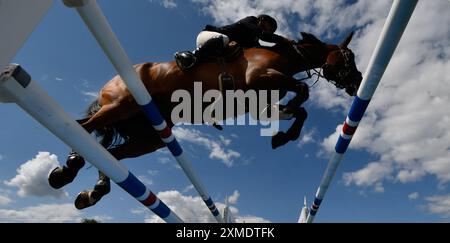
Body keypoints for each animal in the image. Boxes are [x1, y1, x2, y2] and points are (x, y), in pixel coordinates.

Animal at [47, 31, 362, 209]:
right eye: (349, 55)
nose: (358, 83)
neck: (284, 55)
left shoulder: (262, 98)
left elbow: (300, 109)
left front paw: (283, 135)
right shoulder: (260, 78)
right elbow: (303, 94)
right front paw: (285, 131)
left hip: (149, 138)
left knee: (112, 153)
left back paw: (93, 192)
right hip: (120, 105)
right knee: (83, 128)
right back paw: (67, 169)